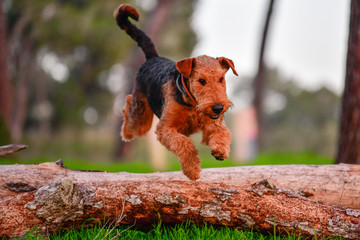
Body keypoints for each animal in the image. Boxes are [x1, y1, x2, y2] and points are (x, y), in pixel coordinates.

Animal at [115, 4, 239, 180]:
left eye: (221, 79)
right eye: (201, 80)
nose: (218, 108)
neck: (192, 102)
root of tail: (153, 58)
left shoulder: (212, 123)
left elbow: (221, 132)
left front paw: (220, 150)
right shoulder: (165, 128)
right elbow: (185, 144)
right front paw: (192, 169)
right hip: (141, 117)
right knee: (128, 105)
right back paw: (126, 133)